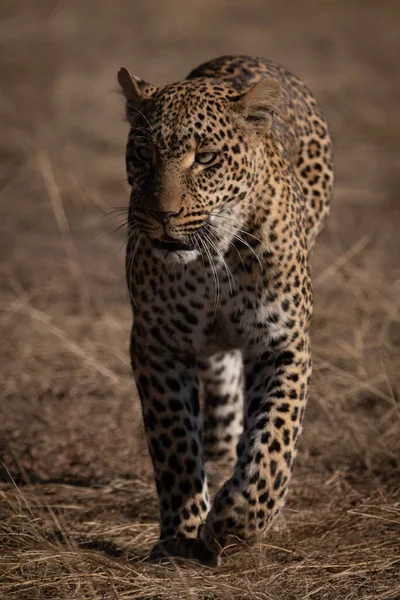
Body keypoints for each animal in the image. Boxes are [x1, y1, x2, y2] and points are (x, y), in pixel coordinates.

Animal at [117, 55, 332, 568]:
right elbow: (174, 444)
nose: (161, 215)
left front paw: (238, 521)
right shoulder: (157, 344)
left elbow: (275, 438)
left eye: (207, 158)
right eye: (144, 153)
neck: (211, 260)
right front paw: (180, 537)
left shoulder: (283, 344)